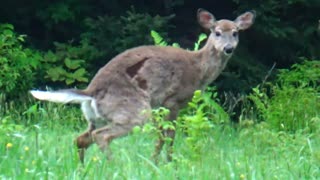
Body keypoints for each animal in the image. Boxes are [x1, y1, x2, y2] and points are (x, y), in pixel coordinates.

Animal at [30, 8, 255, 162]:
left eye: (235, 32)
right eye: (217, 32)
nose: (228, 48)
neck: (199, 69)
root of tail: (90, 91)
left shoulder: (160, 106)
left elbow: (162, 136)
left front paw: (155, 162)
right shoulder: (173, 100)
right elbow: (169, 136)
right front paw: (166, 163)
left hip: (97, 117)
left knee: (81, 138)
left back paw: (82, 168)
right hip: (134, 111)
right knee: (101, 136)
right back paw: (115, 166)